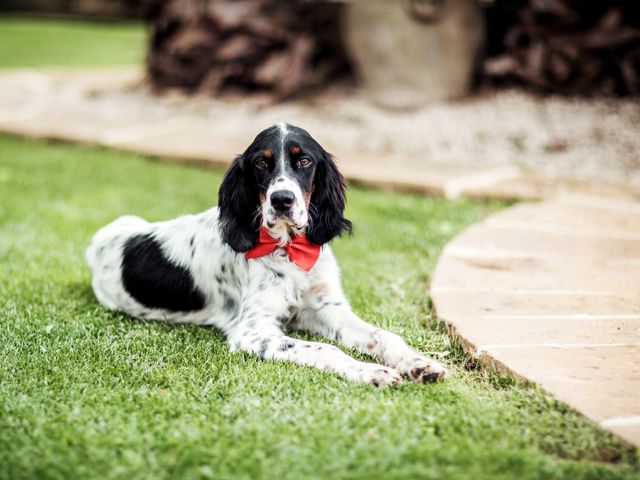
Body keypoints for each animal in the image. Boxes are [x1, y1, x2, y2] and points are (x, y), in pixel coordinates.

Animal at [85, 123, 448, 386]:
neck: (288, 250)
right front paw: (370, 372)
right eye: (261, 162)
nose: (282, 200)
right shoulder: (253, 330)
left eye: (304, 161)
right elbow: (325, 348)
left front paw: (419, 363)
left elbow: (384, 334)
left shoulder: (326, 308)